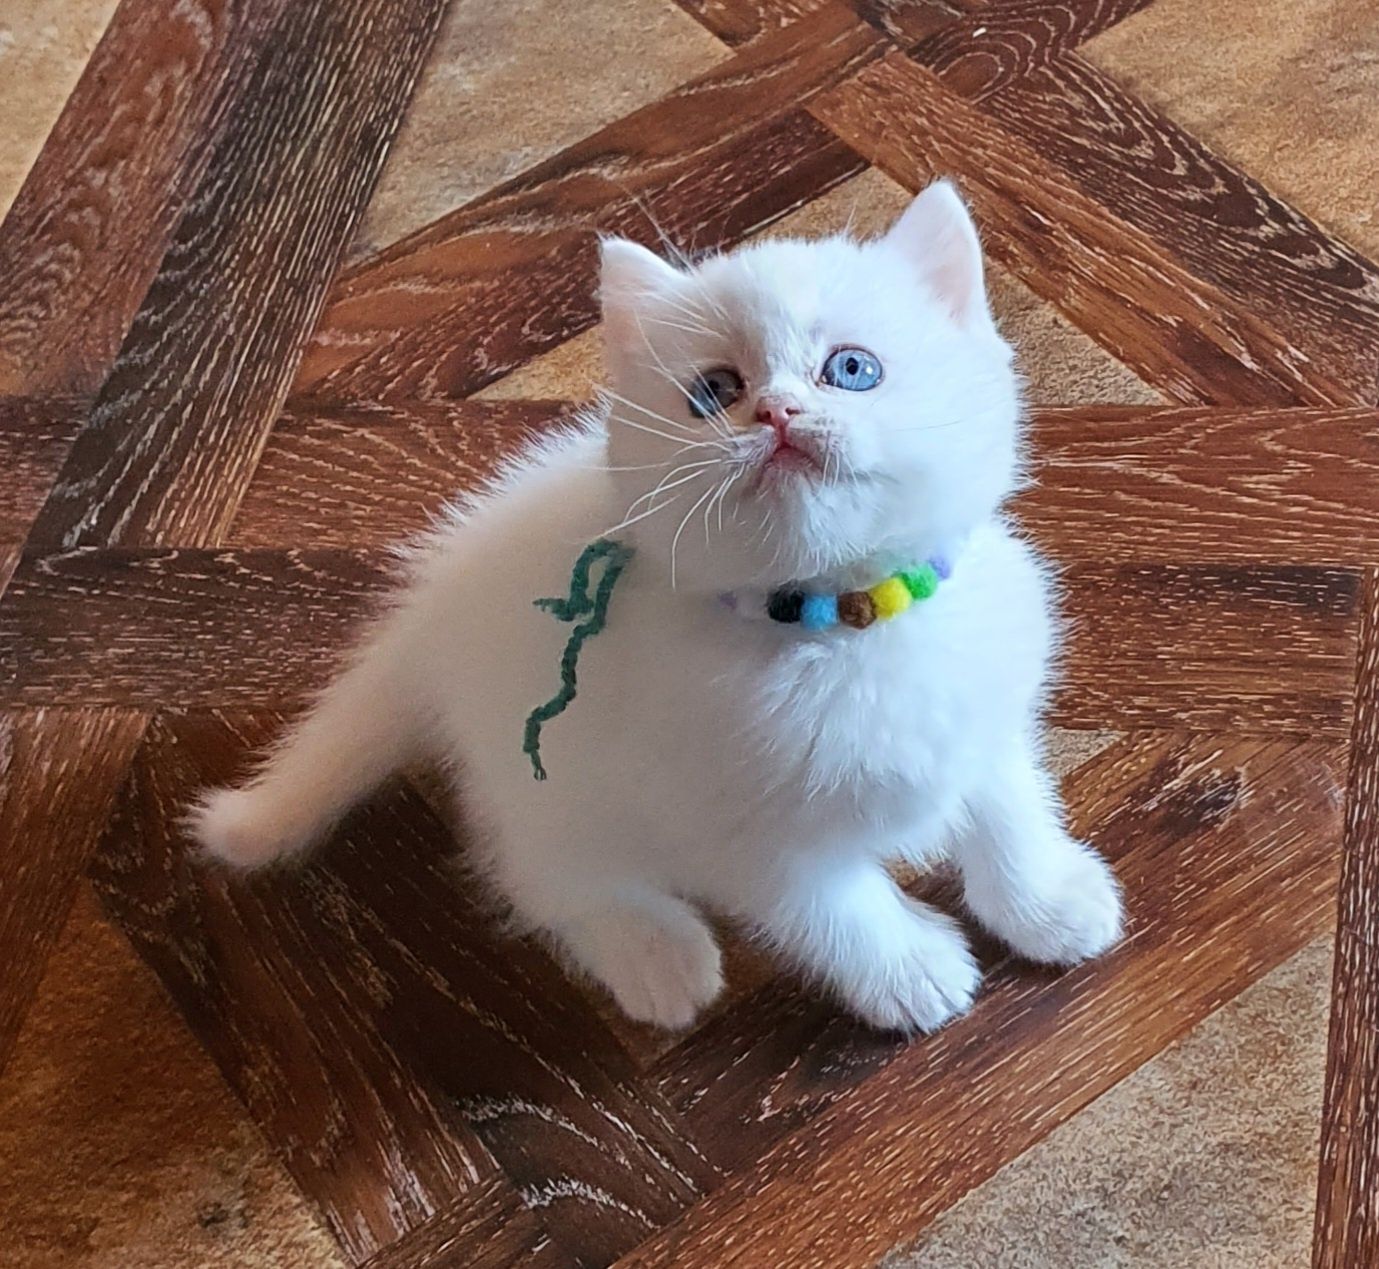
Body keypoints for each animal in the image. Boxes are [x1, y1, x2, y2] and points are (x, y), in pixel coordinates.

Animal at [194, 180, 1119, 1031]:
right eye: (713, 390)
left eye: (852, 369)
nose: (776, 411)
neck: (837, 624)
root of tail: (427, 616)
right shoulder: (736, 829)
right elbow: (833, 908)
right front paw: (907, 973)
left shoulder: (981, 719)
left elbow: (1008, 807)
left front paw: (1046, 902)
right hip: (543, 775)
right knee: (541, 871)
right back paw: (653, 952)